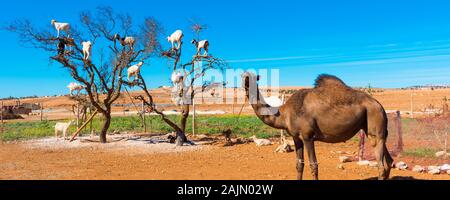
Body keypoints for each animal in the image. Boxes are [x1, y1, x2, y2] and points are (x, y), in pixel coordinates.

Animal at [241, 72, 392, 181]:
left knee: (381, 164)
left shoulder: (308, 136)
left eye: (253, 77)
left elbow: (313, 165)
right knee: (389, 161)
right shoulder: (296, 138)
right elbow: (299, 164)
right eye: (243, 75)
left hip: (375, 122)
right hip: (373, 129)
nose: (245, 82)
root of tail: (379, 105)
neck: (284, 114)